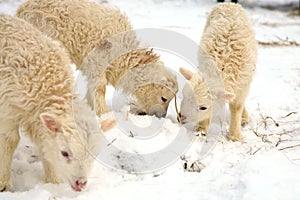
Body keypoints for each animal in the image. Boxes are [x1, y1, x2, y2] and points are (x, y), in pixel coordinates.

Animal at [0, 14, 106, 192]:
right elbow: (9, 141)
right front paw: (4, 183)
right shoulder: (7, 111)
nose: (81, 183)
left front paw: (53, 181)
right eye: (65, 153)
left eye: (94, 155)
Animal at [16, 0, 178, 117]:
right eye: (164, 98)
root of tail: (22, 9)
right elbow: (100, 88)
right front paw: (103, 114)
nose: (161, 116)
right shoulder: (97, 63)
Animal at [178, 2, 258, 141]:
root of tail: (229, 3)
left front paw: (235, 135)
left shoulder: (244, 84)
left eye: (203, 107)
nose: (181, 117)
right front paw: (201, 130)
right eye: (184, 95)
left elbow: (236, 107)